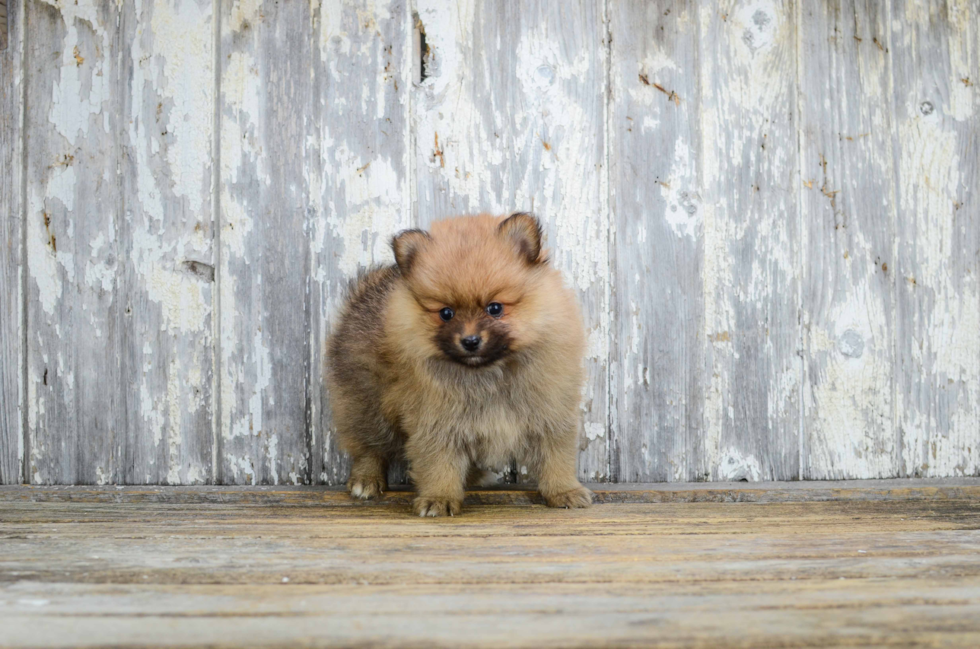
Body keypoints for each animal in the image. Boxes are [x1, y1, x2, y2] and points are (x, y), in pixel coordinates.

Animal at [328, 213, 588, 516]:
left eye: (495, 308)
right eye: (446, 313)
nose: (470, 340)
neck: (487, 373)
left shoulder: (550, 412)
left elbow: (555, 456)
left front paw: (564, 491)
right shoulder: (435, 420)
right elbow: (438, 462)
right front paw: (438, 498)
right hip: (366, 402)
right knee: (369, 446)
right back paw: (366, 480)